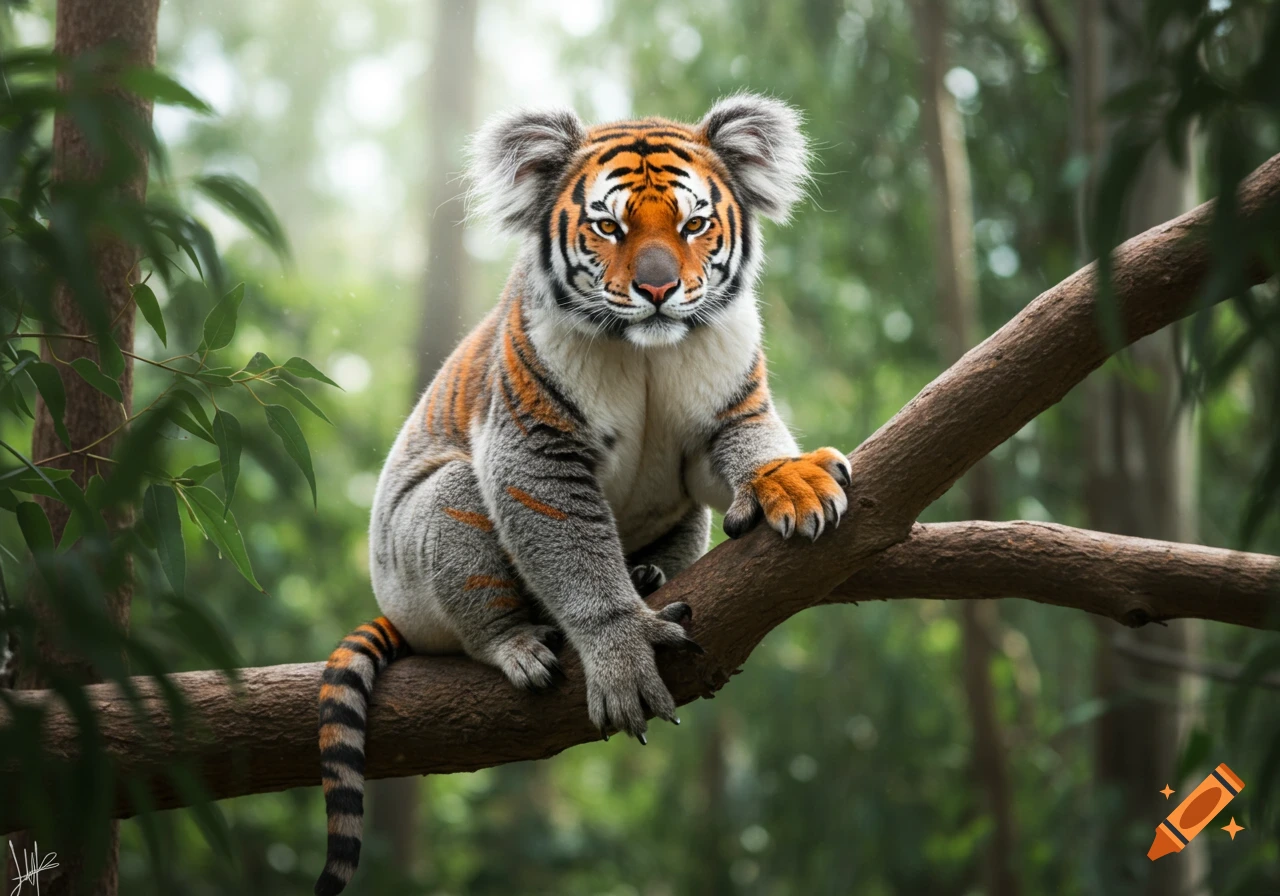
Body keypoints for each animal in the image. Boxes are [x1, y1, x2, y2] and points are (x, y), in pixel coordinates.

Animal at [313, 93, 852, 895]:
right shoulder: (537, 447)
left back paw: (651, 573)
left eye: (695, 225)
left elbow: (747, 445)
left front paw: (794, 482)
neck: (649, 352)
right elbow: (573, 552)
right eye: (609, 227)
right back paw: (519, 645)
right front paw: (622, 655)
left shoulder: (729, 404)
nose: (658, 289)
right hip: (429, 538)